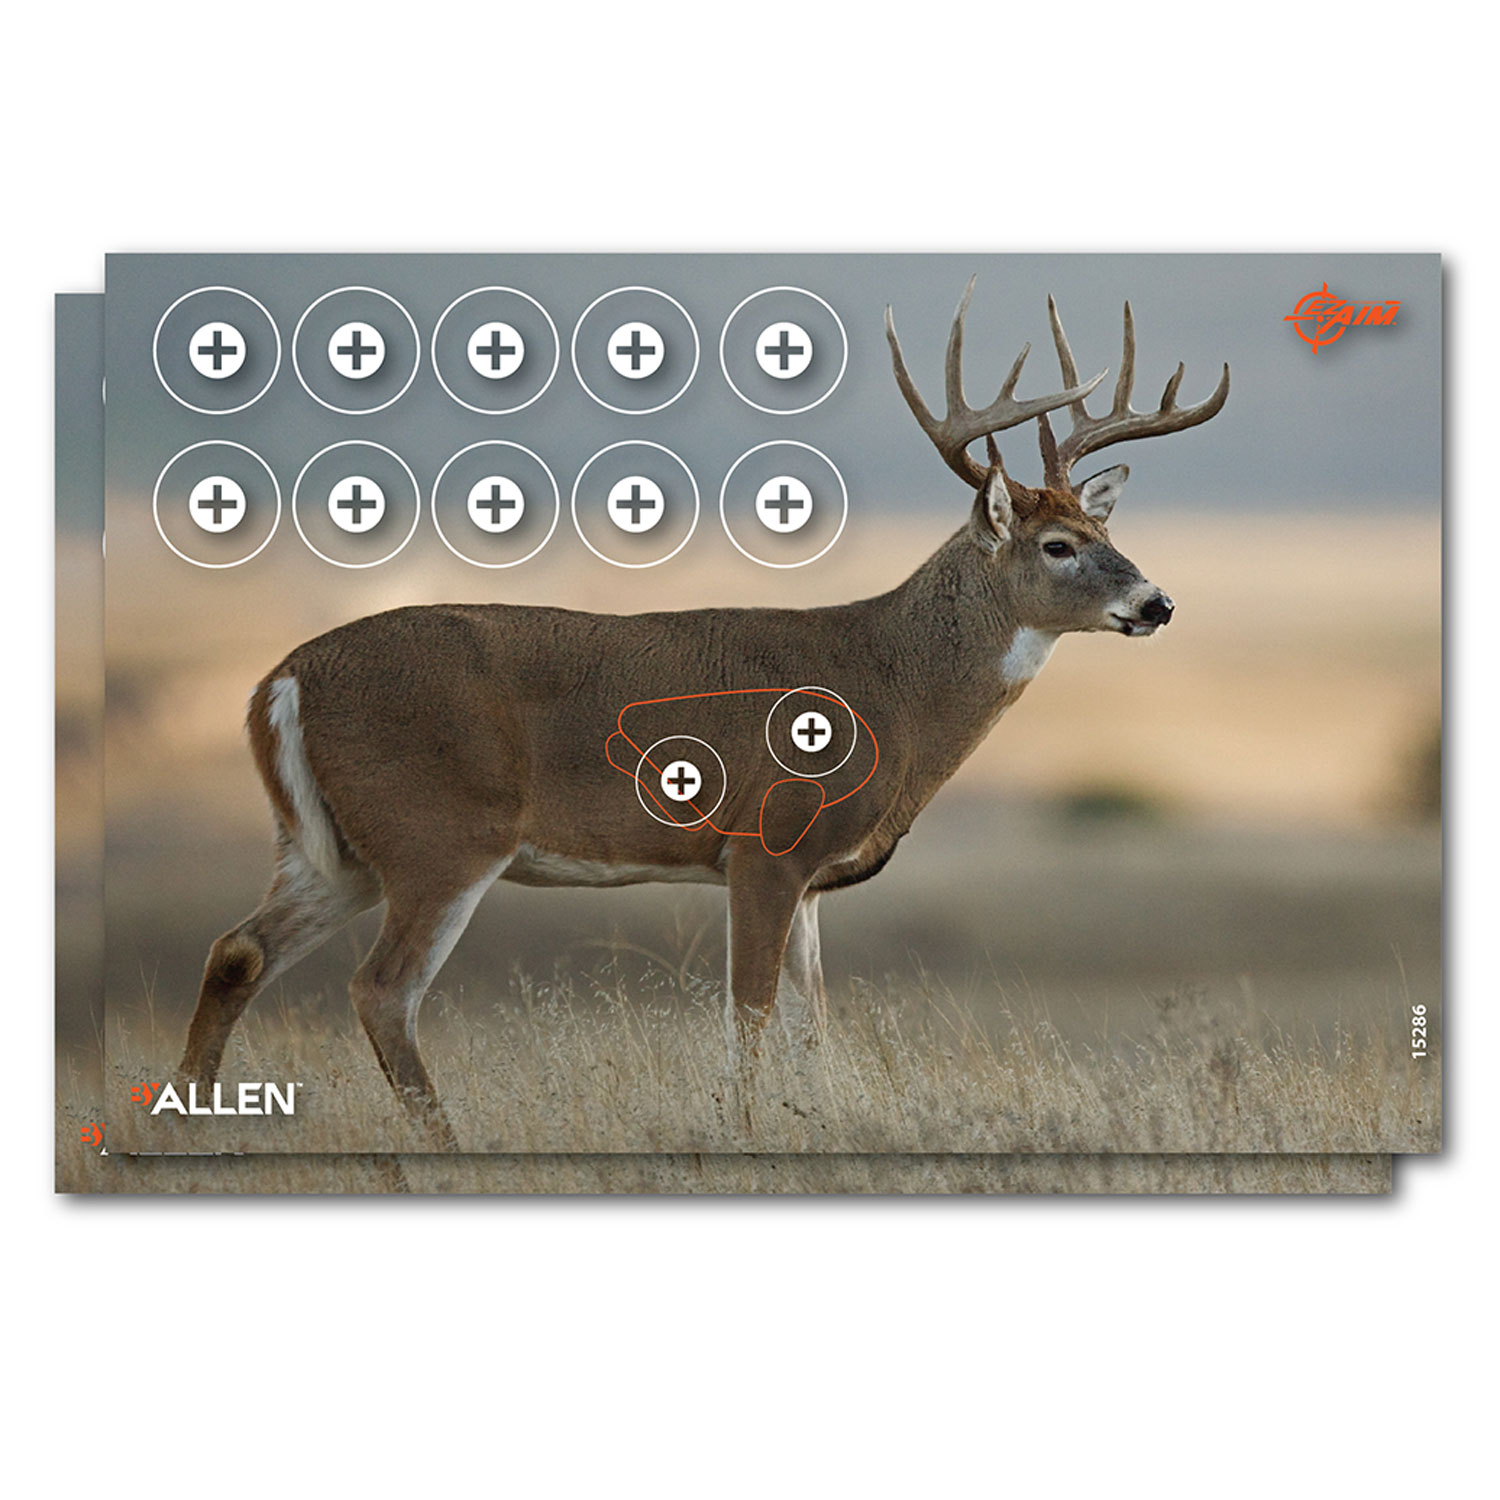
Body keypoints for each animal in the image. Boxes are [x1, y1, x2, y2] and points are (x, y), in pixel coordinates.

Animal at [177, 278, 1229, 1149]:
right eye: (1058, 545)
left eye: (1104, 529)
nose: (1158, 604)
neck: (890, 686)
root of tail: (281, 679)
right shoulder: (765, 844)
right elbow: (751, 1013)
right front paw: (746, 1133)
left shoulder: (810, 878)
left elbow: (811, 1023)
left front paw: (813, 1124)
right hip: (440, 833)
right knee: (381, 990)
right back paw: (444, 1148)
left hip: (335, 849)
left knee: (237, 950)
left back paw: (188, 1126)